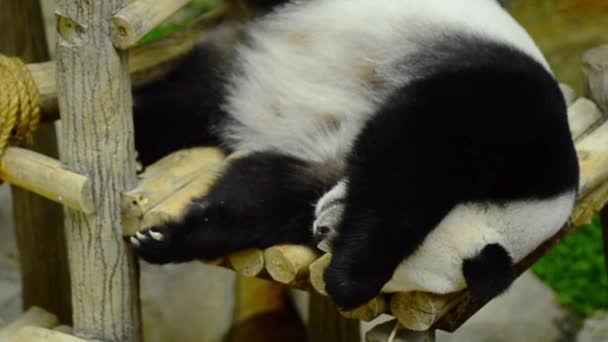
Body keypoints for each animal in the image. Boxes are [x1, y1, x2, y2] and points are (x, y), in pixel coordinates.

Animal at [129, 0, 580, 310]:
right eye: (401, 262)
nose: (320, 232)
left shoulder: (321, 171)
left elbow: (259, 195)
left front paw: (165, 239)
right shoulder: (516, 120)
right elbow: (416, 156)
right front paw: (348, 281)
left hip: (222, 82)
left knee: (178, 108)